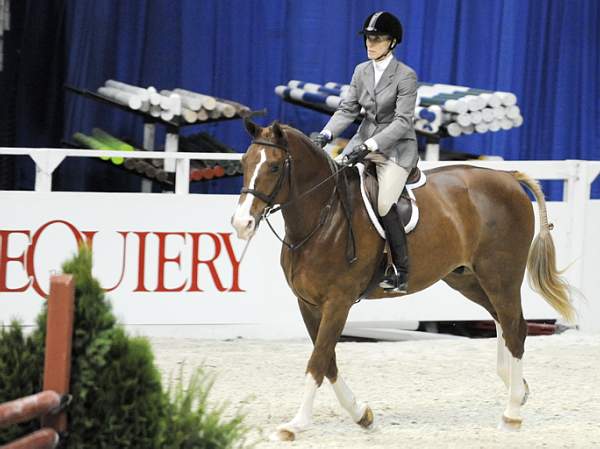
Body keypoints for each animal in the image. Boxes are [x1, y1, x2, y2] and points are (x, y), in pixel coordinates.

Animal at [231, 117, 576, 440]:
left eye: (274, 166)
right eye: (244, 163)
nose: (241, 224)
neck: (324, 218)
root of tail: (508, 177)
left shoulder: (338, 303)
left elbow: (318, 361)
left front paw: (295, 424)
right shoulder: (308, 304)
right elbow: (328, 361)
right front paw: (362, 415)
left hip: (500, 276)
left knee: (515, 328)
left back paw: (512, 413)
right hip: (467, 278)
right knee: (507, 323)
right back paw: (518, 387)